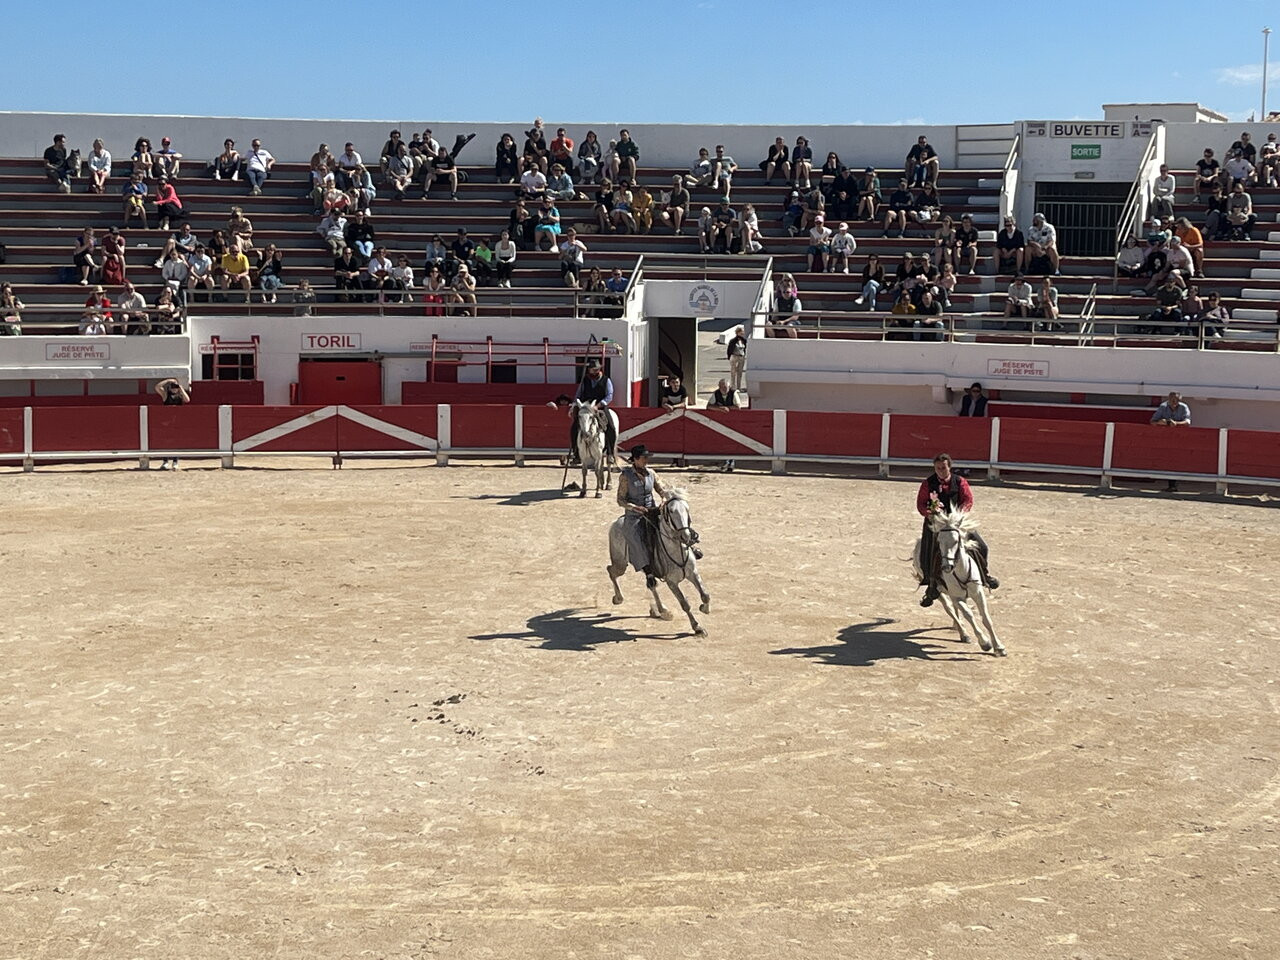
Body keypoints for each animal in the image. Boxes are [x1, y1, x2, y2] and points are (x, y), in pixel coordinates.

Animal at [606, 488, 711, 640]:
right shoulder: (671, 582)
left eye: (687, 508)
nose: (686, 536)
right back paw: (618, 598)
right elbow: (684, 604)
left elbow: (705, 594)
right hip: (620, 563)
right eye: (671, 511)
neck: (677, 549)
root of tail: (616, 522)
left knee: (651, 585)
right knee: (610, 570)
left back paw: (661, 611)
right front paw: (697, 628)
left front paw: (704, 608)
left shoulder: (693, 573)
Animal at [911, 506, 1008, 660]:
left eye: (956, 541)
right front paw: (985, 643)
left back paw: (958, 629)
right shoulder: (958, 597)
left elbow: (986, 619)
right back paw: (963, 633)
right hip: (939, 593)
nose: (946, 567)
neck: (961, 570)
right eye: (939, 541)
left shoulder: (978, 593)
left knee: (955, 611)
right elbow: (968, 614)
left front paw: (999, 647)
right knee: (950, 609)